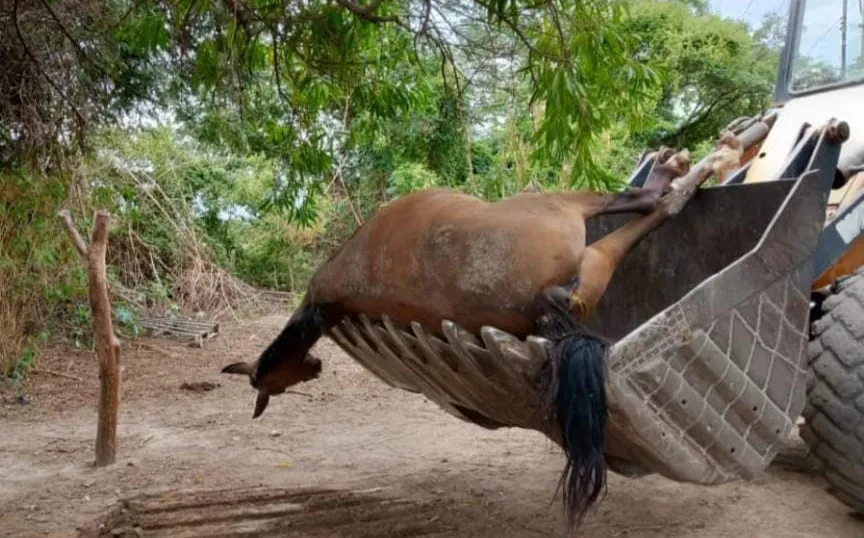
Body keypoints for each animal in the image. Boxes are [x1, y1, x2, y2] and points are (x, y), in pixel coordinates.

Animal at [223, 136, 742, 530]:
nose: (313, 367)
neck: (325, 301)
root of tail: (540, 305)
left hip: (591, 268)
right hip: (565, 210)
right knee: (650, 207)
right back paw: (686, 171)